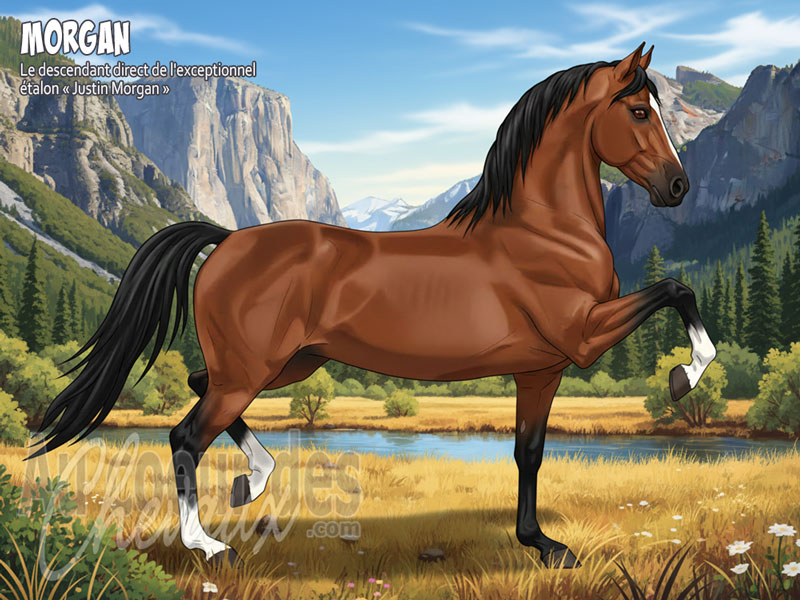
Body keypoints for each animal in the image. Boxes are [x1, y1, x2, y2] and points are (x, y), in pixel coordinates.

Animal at [32, 42, 716, 569]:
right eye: (637, 110)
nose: (679, 187)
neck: (543, 228)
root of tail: (225, 241)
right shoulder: (583, 334)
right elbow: (676, 291)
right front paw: (685, 376)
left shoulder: (540, 369)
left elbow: (529, 453)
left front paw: (542, 545)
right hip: (256, 370)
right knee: (184, 434)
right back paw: (208, 544)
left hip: (284, 364)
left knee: (201, 386)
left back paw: (255, 478)